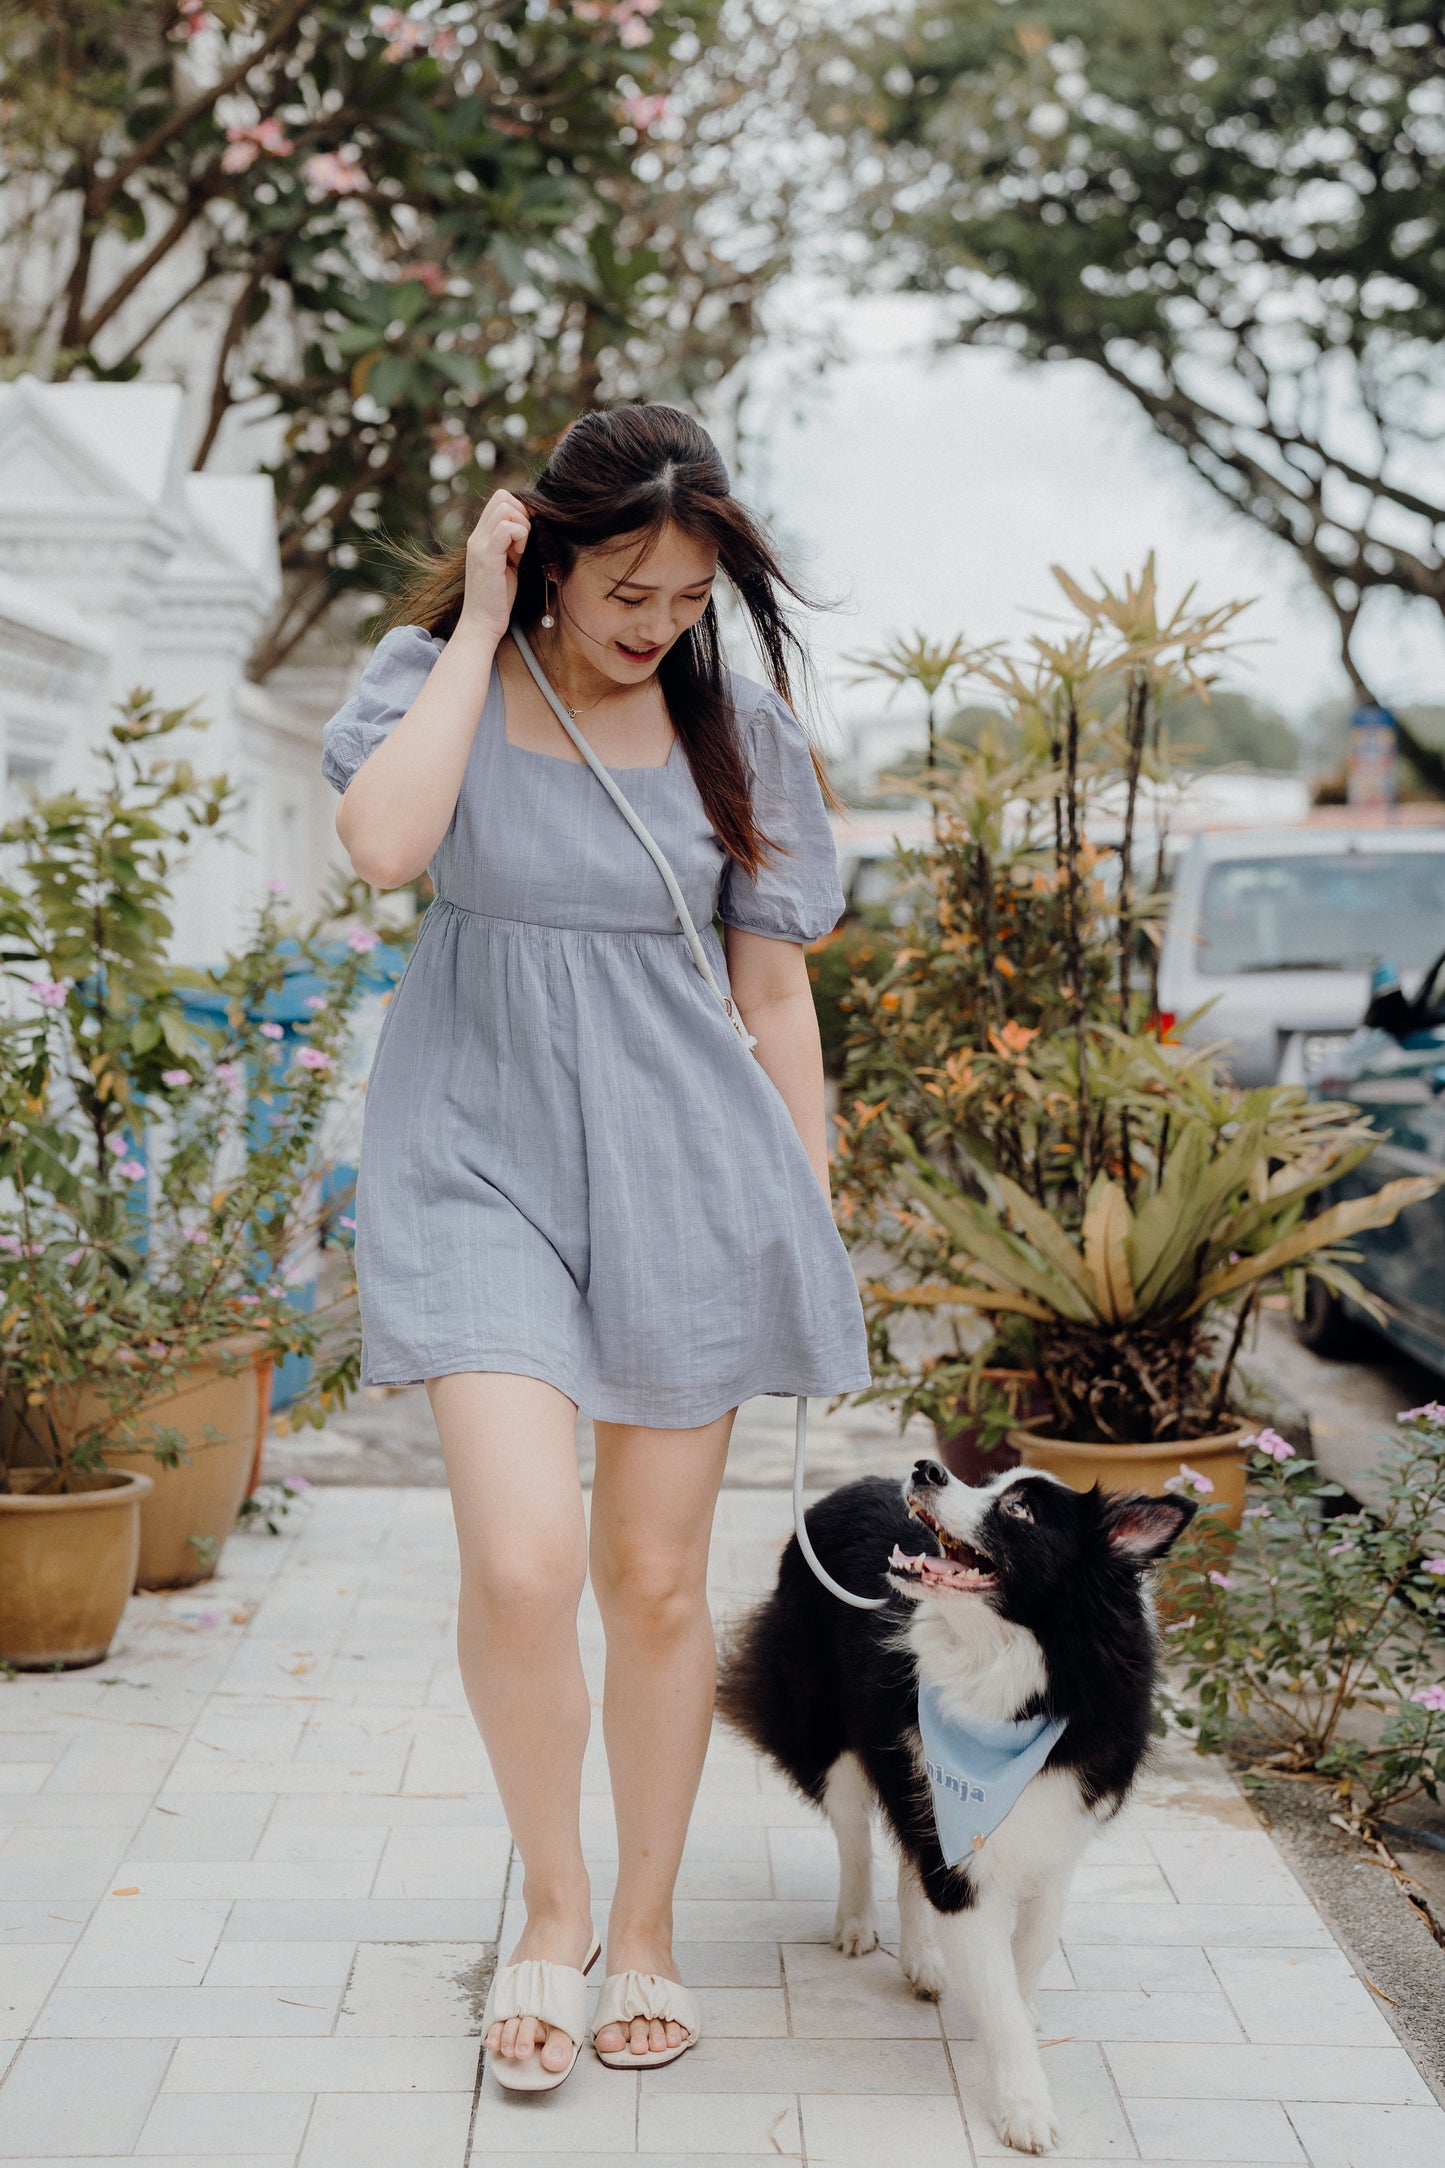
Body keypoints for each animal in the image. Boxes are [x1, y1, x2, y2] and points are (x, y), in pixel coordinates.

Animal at [719, 1456, 1195, 2150]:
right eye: (990, 1481)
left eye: (1019, 1509)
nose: (926, 1467)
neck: (1012, 1682)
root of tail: (846, 1487)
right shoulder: (960, 1853)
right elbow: (992, 1980)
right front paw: (1025, 2106)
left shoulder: (1058, 1831)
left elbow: (1034, 1943)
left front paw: (1021, 2012)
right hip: (828, 1729)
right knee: (855, 1836)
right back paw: (857, 1925)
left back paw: (921, 1960)